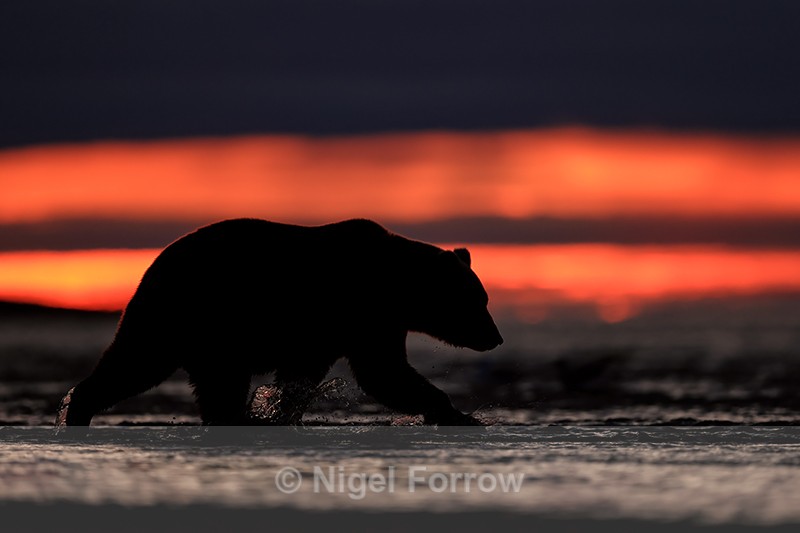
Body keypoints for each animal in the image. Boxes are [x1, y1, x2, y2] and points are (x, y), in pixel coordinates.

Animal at [56, 218, 503, 426]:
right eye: (478, 301)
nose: (496, 337)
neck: (396, 286)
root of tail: (152, 265)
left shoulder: (347, 328)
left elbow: (308, 374)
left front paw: (279, 408)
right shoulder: (360, 313)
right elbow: (385, 373)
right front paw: (460, 414)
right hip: (195, 315)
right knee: (137, 361)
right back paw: (75, 411)